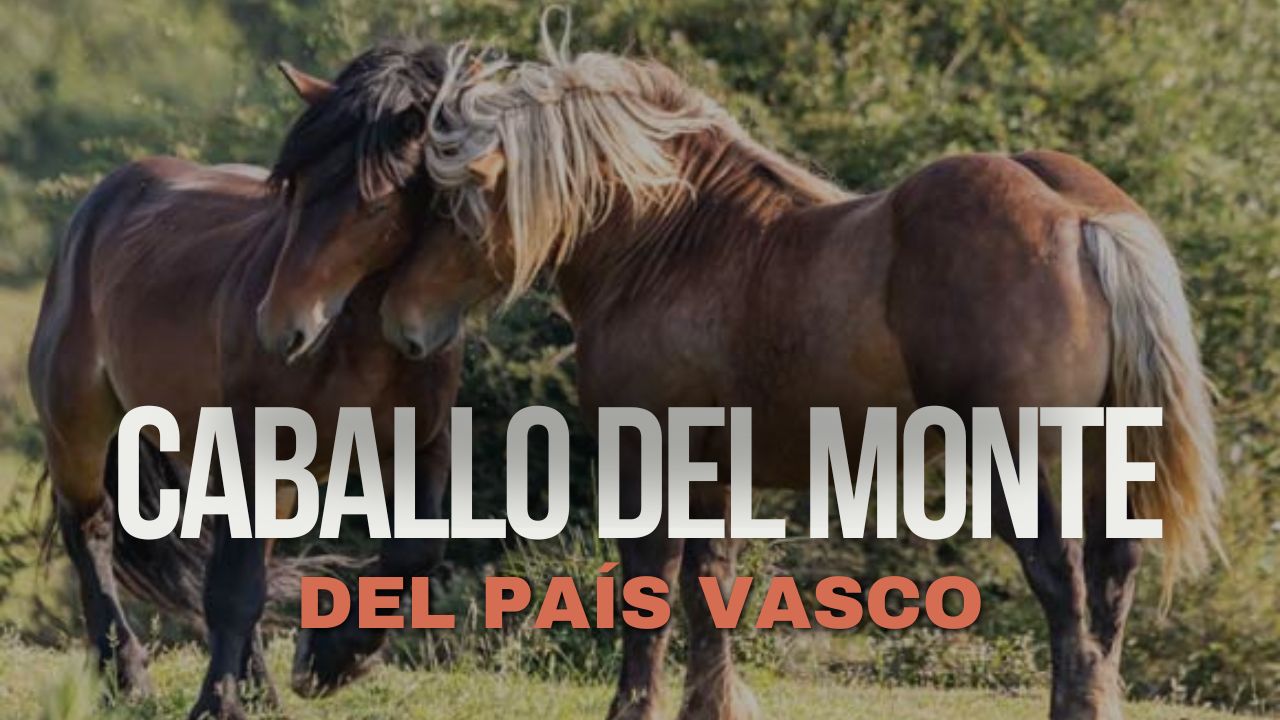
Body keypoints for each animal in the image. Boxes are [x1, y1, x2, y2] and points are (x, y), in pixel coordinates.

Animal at [29, 41, 461, 719]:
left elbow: (413, 554)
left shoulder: (422, 443)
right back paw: (126, 676)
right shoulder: (254, 451)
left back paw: (259, 689)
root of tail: (103, 200)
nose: (280, 326)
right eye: (294, 187)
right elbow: (234, 589)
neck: (357, 337)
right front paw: (218, 703)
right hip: (78, 426)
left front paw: (330, 662)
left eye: (377, 201)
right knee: (91, 533)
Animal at [265, 28, 1221, 720]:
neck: (675, 240)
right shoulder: (718, 470)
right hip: (1104, 463)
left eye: (446, 207)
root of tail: (1080, 216)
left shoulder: (648, 457)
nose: (404, 327)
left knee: (1066, 598)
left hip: (1016, 462)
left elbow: (651, 588)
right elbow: (708, 592)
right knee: (1109, 590)